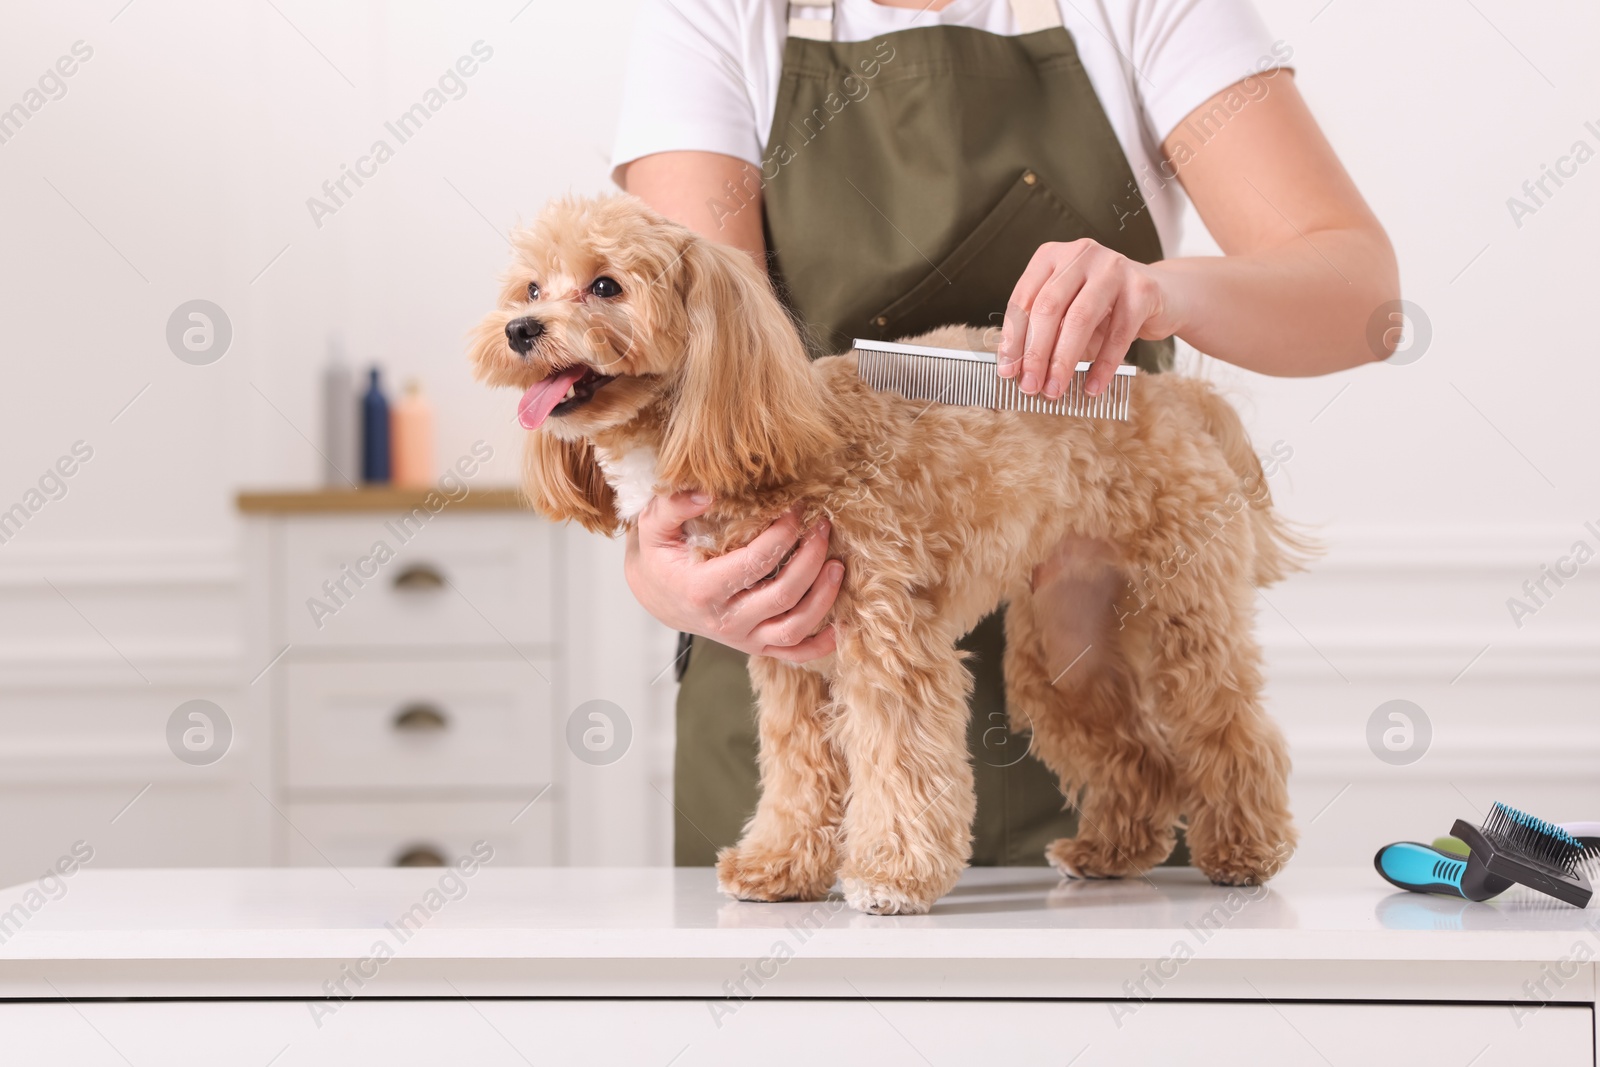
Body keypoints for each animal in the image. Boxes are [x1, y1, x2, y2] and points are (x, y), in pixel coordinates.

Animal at [470, 195, 1299, 915]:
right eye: (532, 287)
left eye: (605, 285)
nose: (520, 330)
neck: (764, 431)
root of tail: (1172, 396)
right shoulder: (790, 657)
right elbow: (797, 772)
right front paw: (780, 866)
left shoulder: (887, 642)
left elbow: (899, 759)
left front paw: (892, 874)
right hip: (1070, 644)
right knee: (1139, 750)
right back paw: (1112, 851)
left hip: (1186, 613)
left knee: (1230, 727)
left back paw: (1246, 850)